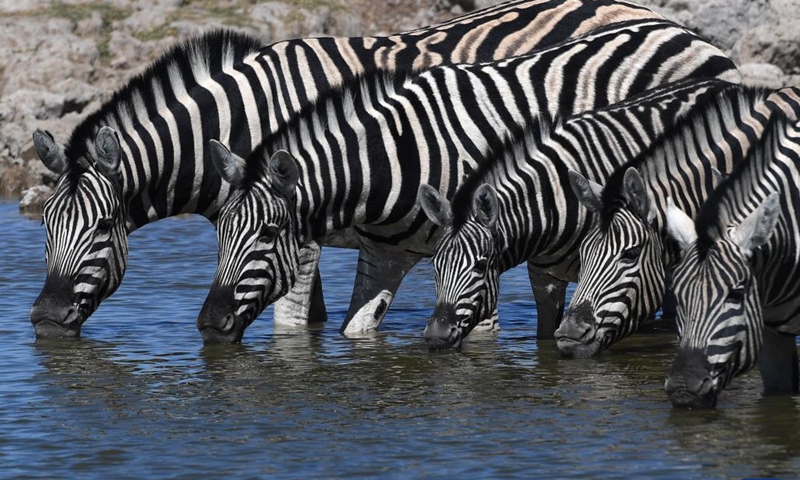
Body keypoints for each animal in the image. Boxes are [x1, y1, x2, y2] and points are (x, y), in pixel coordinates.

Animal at [416, 78, 728, 348]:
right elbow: (545, 337)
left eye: (480, 266)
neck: (551, 201)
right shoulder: (544, 280)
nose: (436, 336)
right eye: (435, 266)